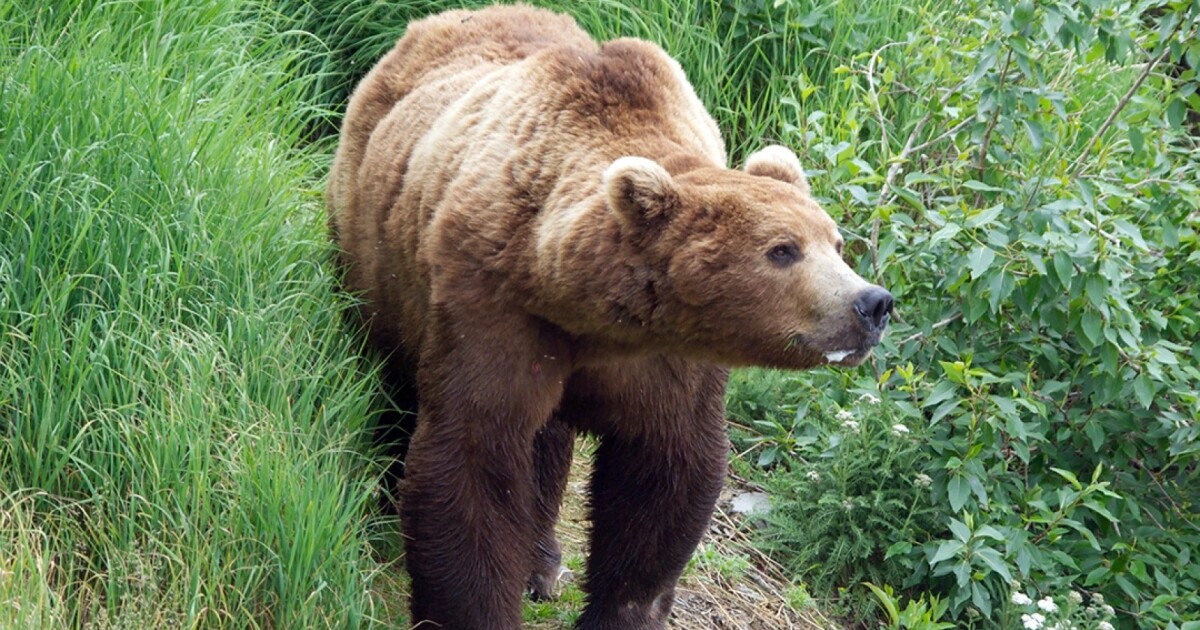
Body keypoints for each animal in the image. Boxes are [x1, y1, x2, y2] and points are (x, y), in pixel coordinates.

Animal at [327, 5, 893, 629]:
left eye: (835, 242)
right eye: (783, 250)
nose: (872, 303)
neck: (592, 312)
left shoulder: (668, 361)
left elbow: (664, 476)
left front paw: (620, 608)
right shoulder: (492, 305)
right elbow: (474, 456)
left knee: (548, 436)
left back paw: (541, 562)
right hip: (377, 255)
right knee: (392, 374)